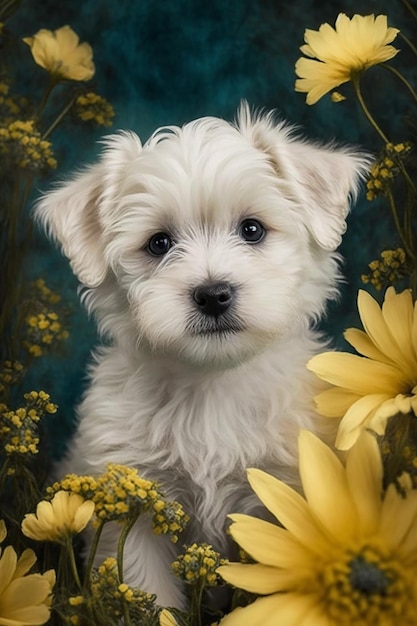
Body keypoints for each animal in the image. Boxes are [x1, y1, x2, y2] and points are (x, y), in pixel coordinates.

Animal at [36, 105, 368, 608]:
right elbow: (148, 588)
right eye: (158, 243)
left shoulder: (283, 490)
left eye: (252, 230)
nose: (213, 294)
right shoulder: (134, 503)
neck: (212, 381)